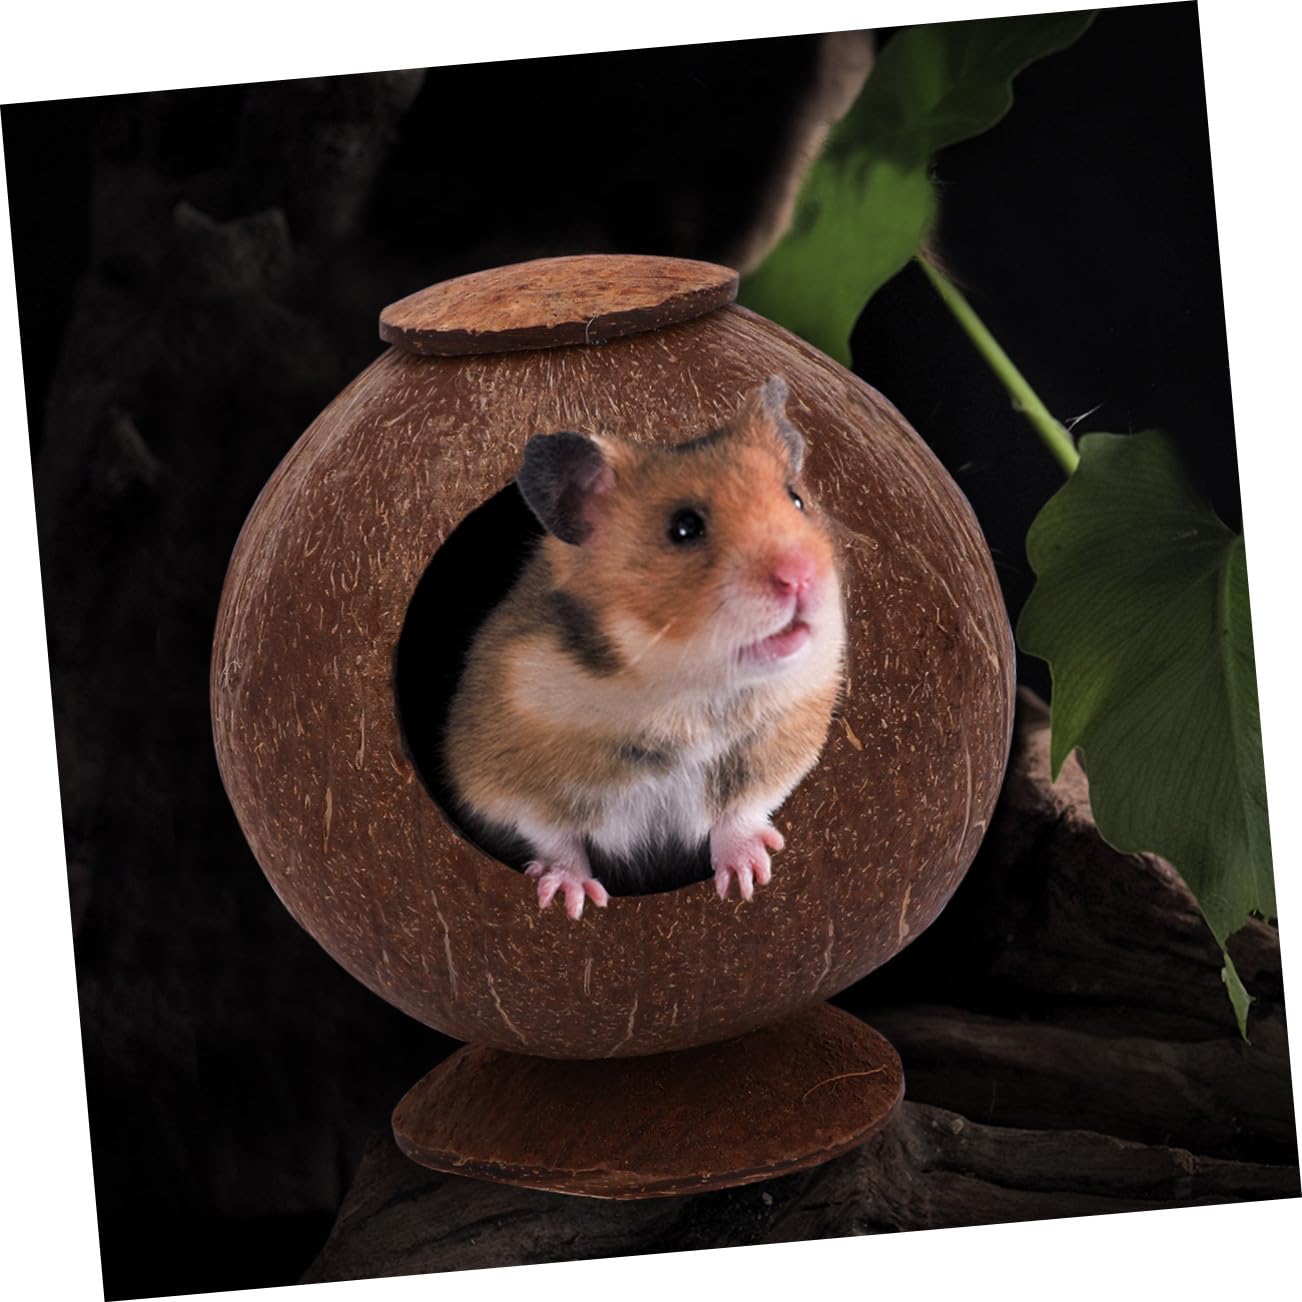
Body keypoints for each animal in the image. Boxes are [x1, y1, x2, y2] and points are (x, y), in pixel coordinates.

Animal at [442, 375, 846, 919]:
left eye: (796, 499)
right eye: (684, 527)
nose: (802, 577)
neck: (683, 690)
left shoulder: (778, 750)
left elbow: (742, 809)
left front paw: (748, 877)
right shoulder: (495, 773)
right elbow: (550, 834)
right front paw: (570, 899)